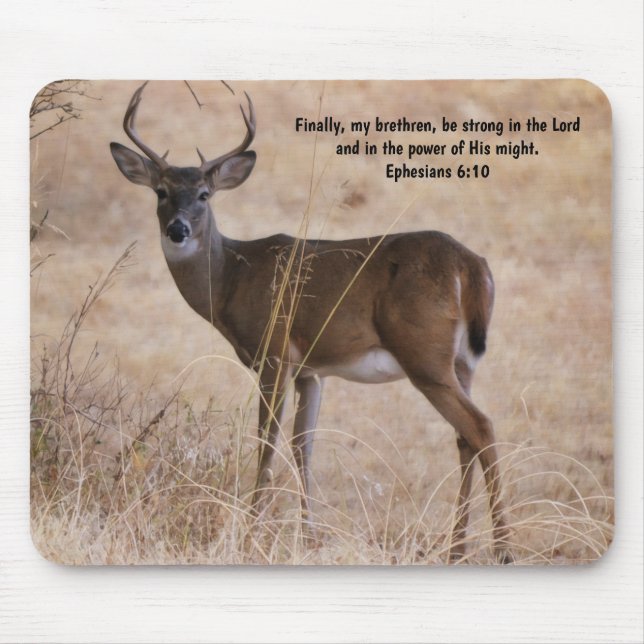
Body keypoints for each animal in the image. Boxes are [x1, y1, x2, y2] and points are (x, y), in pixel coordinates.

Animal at [110, 82, 512, 563]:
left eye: (205, 195)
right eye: (161, 191)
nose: (178, 229)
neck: (232, 280)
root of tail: (472, 266)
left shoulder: (274, 353)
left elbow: (266, 442)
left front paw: (253, 531)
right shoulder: (311, 371)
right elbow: (304, 446)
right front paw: (309, 537)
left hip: (424, 354)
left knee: (481, 427)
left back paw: (503, 549)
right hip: (462, 363)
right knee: (464, 439)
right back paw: (457, 549)